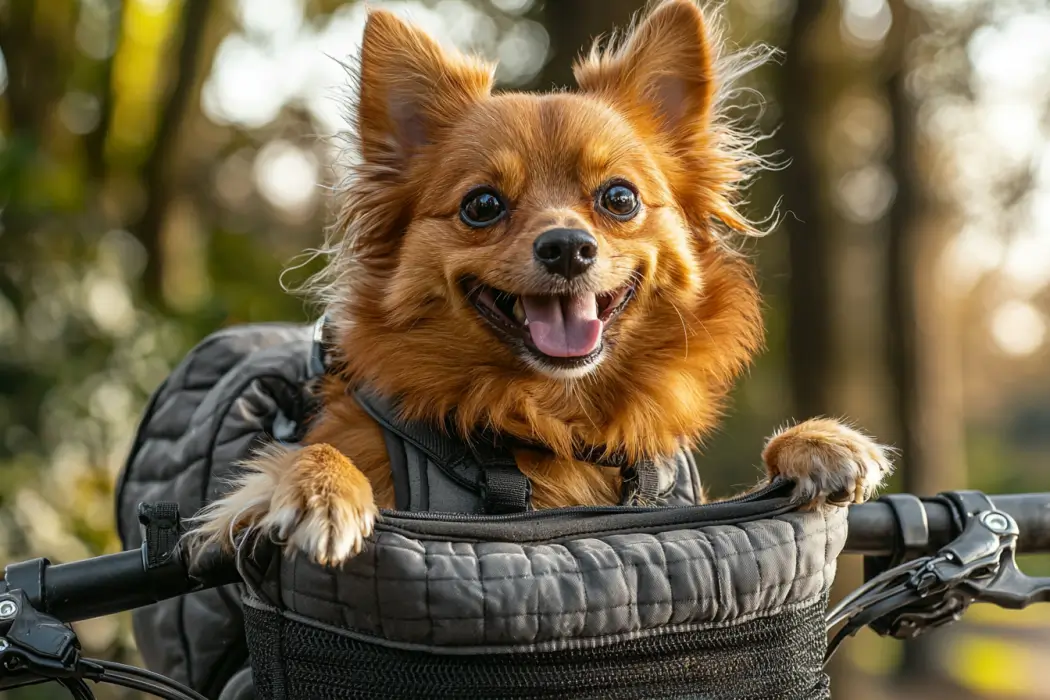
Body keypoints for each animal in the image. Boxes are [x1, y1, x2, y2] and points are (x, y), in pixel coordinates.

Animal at [186, 0, 886, 570]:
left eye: (620, 198)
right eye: (482, 206)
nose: (568, 247)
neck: (554, 423)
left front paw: (815, 442)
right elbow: (284, 473)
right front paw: (319, 486)